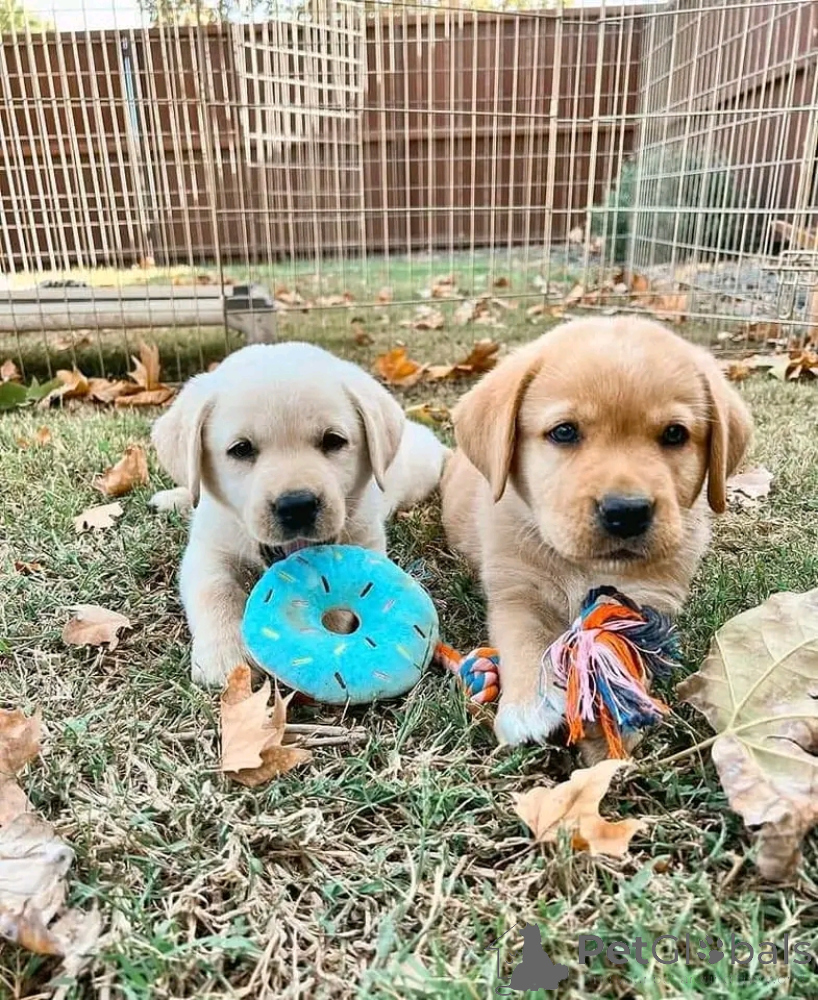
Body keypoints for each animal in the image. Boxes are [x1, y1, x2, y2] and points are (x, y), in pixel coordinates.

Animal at [152, 342, 448, 687]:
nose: (297, 506)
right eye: (241, 449)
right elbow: (215, 590)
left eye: (333, 441)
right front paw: (225, 655)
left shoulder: (365, 537)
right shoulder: (209, 547)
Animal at [441, 317, 752, 753]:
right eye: (564, 432)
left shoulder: (649, 601)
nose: (627, 512)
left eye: (675, 434)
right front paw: (529, 704)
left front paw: (610, 717)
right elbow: (523, 637)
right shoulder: (516, 589)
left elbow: (620, 649)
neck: (584, 567)